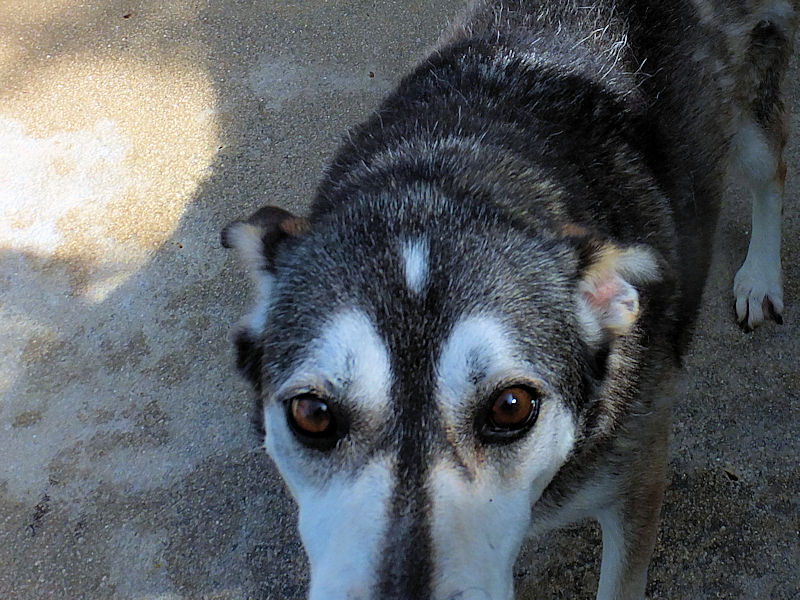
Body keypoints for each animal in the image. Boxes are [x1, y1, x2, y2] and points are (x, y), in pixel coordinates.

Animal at [222, 1, 796, 598]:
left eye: (511, 406)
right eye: (312, 414)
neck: (448, 176)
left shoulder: (636, 476)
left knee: (771, 167)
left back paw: (760, 277)